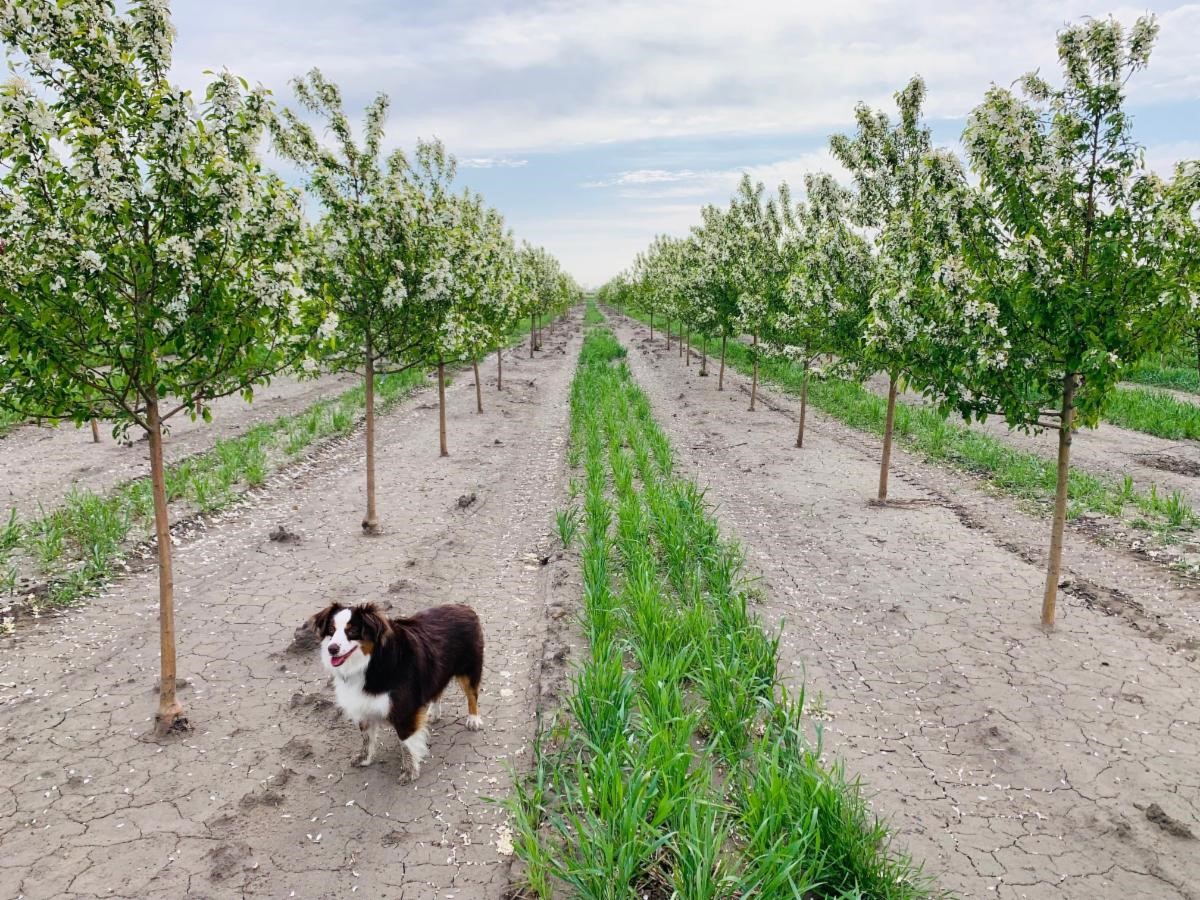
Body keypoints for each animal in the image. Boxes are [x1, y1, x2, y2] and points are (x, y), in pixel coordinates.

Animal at [312, 600, 484, 782]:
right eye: (331, 630)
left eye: (352, 631)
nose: (332, 648)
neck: (370, 662)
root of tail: (463, 606)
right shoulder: (362, 703)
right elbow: (366, 736)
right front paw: (364, 758)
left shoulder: (404, 709)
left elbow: (405, 742)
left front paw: (409, 771)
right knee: (438, 690)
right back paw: (433, 713)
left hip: (469, 668)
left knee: (472, 695)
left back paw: (473, 720)